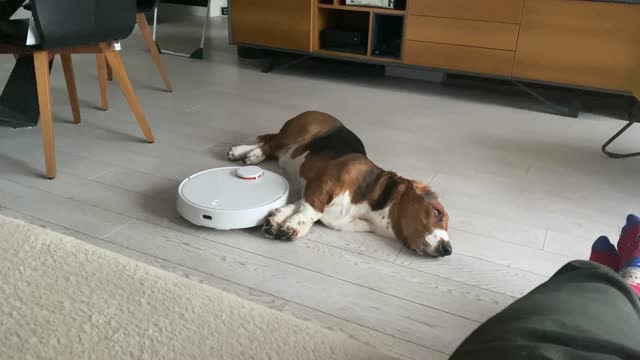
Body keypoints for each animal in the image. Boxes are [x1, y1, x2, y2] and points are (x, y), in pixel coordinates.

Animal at [228, 111, 452, 258]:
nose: (448, 250)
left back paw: (245, 151)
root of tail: (315, 112)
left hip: (288, 148)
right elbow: (312, 211)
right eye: (437, 213)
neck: (369, 207)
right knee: (270, 142)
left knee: (271, 144)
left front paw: (279, 219)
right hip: (297, 133)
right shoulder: (322, 185)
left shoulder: (311, 193)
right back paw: (249, 153)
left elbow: (298, 206)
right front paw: (294, 225)